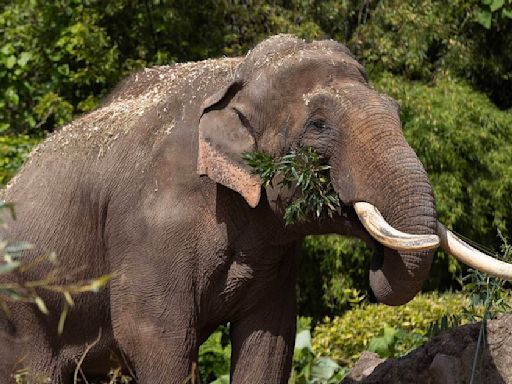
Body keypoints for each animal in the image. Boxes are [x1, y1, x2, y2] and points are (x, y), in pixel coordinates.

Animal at [0, 34, 508, 382]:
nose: (377, 262)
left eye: (397, 110)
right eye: (318, 125)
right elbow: (153, 336)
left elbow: (269, 339)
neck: (235, 78)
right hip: (19, 307)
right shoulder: (150, 224)